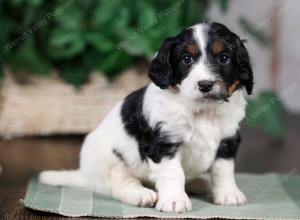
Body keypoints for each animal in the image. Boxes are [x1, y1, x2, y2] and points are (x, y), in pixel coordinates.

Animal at [39, 21, 254, 211]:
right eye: (186, 59)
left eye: (224, 58)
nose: (205, 85)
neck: (202, 111)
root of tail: (83, 174)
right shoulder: (163, 142)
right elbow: (173, 173)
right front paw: (174, 201)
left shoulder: (227, 139)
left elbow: (223, 169)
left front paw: (228, 194)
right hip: (112, 162)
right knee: (119, 183)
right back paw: (141, 195)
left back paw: (199, 184)